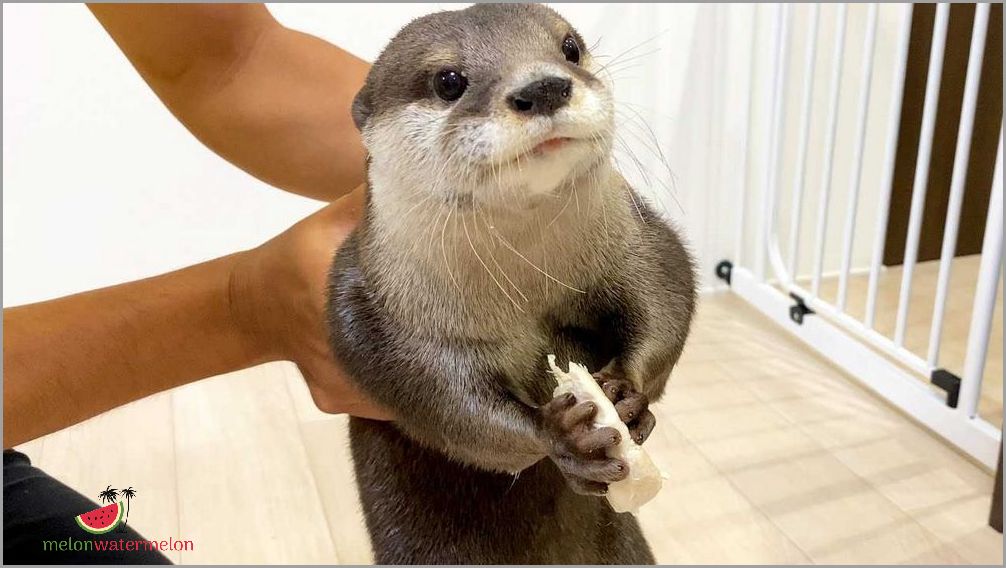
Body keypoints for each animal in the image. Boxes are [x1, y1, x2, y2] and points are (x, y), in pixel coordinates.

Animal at [326, 4, 696, 564]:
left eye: (569, 47)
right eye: (449, 80)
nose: (544, 87)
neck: (527, 283)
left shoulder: (639, 238)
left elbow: (666, 294)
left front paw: (626, 392)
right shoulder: (377, 314)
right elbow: (445, 407)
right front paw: (560, 434)